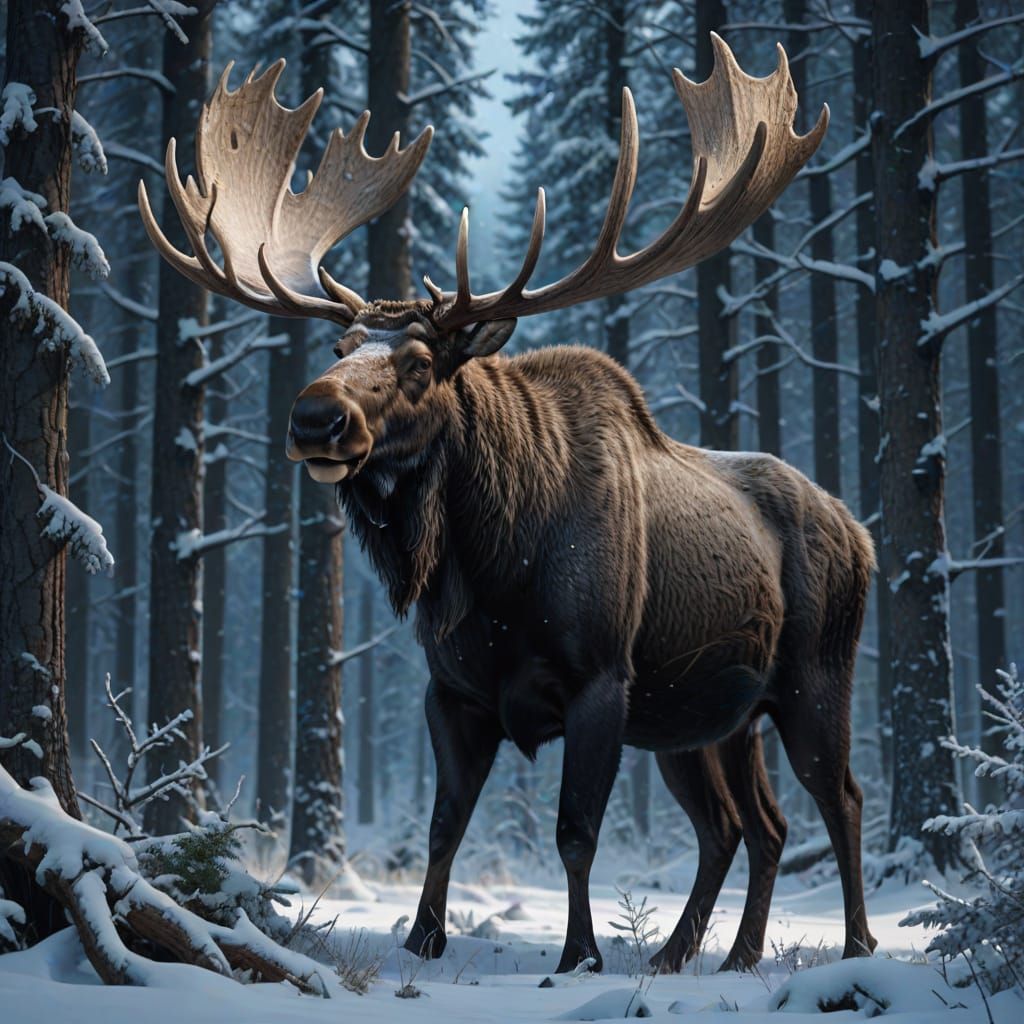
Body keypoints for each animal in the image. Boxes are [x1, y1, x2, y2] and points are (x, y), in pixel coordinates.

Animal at [140, 37, 877, 975]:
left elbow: (574, 834)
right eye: (340, 346)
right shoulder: (452, 691)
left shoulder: (602, 681)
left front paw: (579, 958)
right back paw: (708, 955)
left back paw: (853, 945)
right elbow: (443, 826)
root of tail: (861, 533)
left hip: (815, 676)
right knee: (750, 825)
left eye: (420, 363)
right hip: (706, 718)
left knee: (839, 798)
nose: (313, 418)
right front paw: (422, 940)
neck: (494, 571)